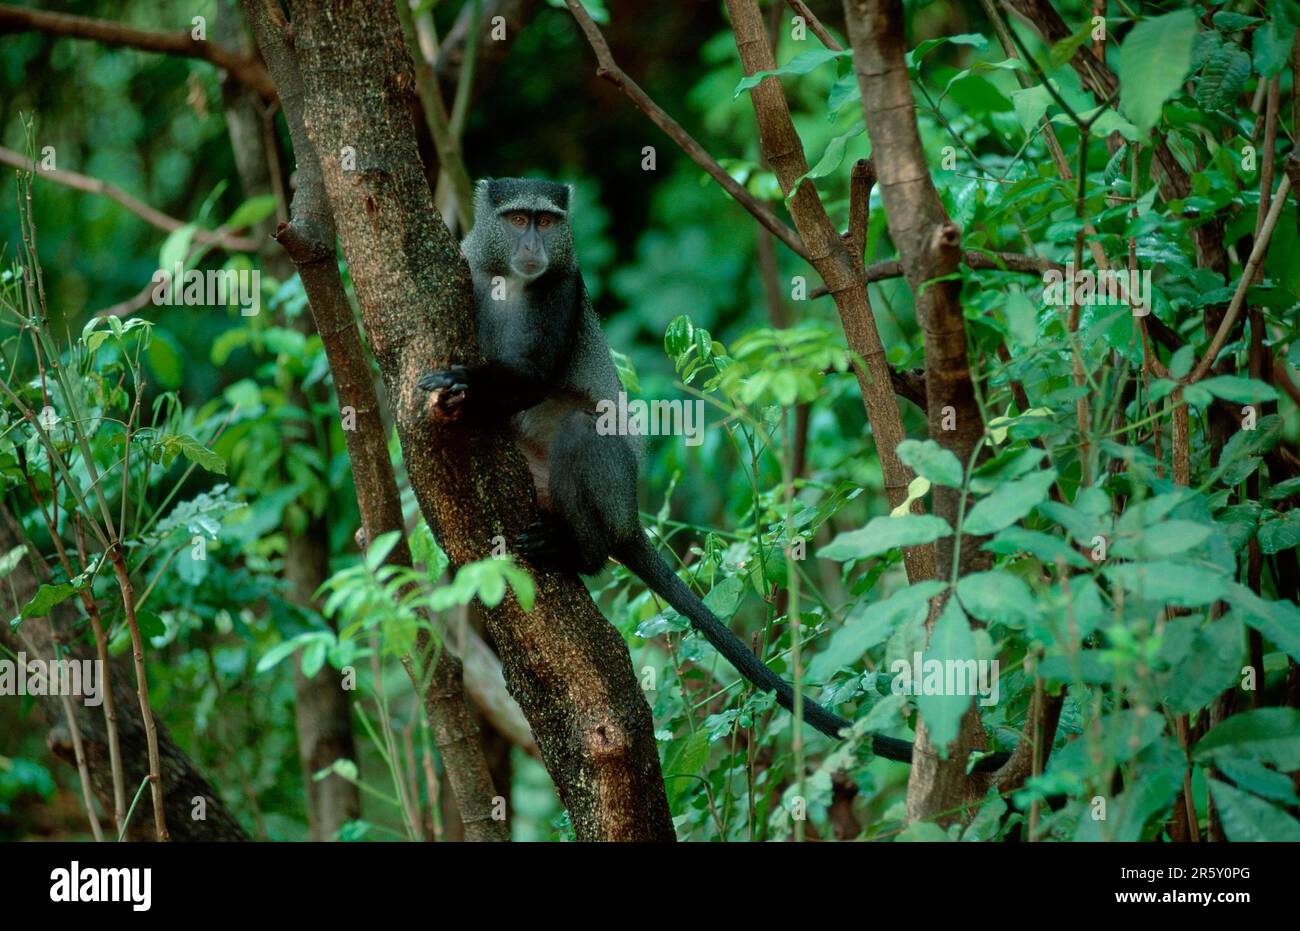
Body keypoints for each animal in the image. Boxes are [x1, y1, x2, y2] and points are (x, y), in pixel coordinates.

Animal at [420, 178, 1008, 774]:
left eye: (545, 222)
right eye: (517, 220)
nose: (532, 247)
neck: (513, 282)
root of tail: (627, 515)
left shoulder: (563, 284)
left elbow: (535, 376)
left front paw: (462, 382)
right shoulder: (470, 266)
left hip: (607, 484)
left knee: (585, 431)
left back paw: (576, 552)